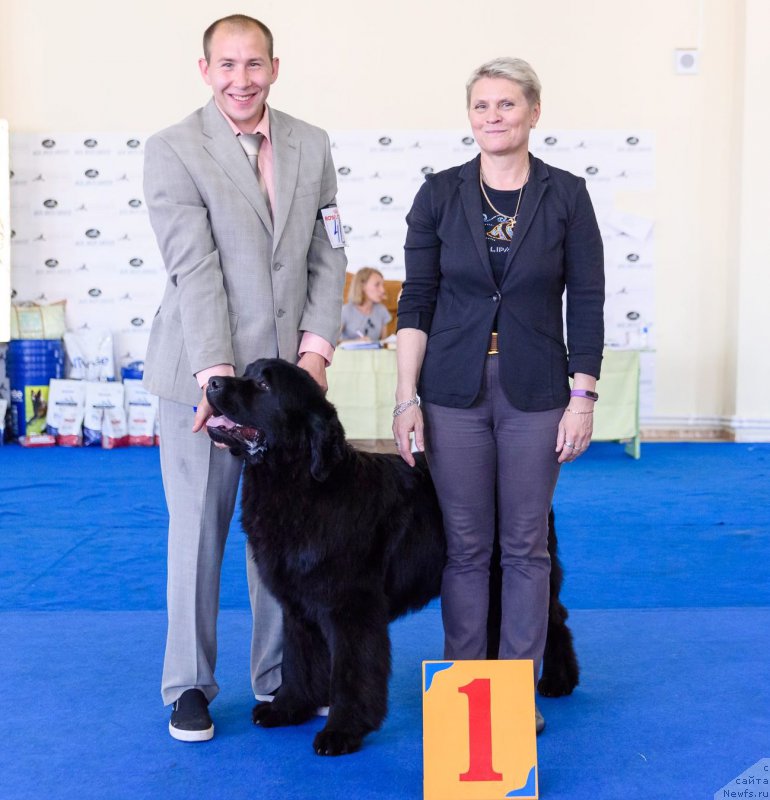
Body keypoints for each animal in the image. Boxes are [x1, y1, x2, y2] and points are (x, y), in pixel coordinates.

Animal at [204, 360, 576, 752]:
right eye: (246, 372)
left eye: (263, 385)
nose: (212, 382)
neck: (298, 484)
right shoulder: (298, 605)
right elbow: (298, 660)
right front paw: (287, 709)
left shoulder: (352, 606)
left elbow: (352, 671)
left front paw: (342, 731)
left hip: (515, 567)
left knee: (551, 618)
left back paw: (558, 680)